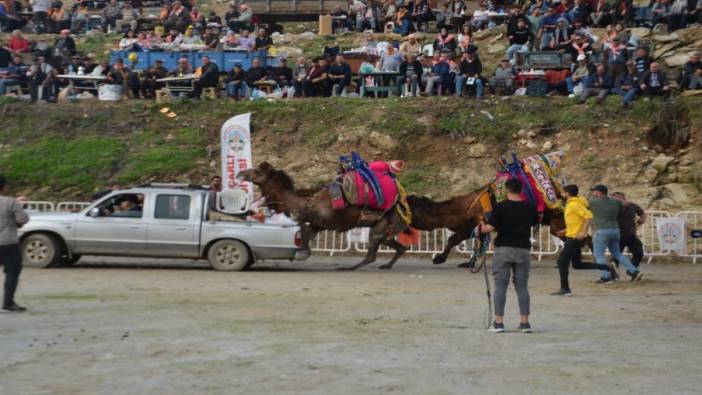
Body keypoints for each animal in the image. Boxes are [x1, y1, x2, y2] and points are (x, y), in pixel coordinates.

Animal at [239, 162, 410, 270]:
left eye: (258, 171)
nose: (241, 172)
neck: (306, 203)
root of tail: (399, 203)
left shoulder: (323, 220)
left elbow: (303, 229)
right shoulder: (318, 224)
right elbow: (306, 233)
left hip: (382, 224)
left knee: (373, 252)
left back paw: (349, 268)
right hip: (385, 227)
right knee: (397, 245)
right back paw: (386, 265)